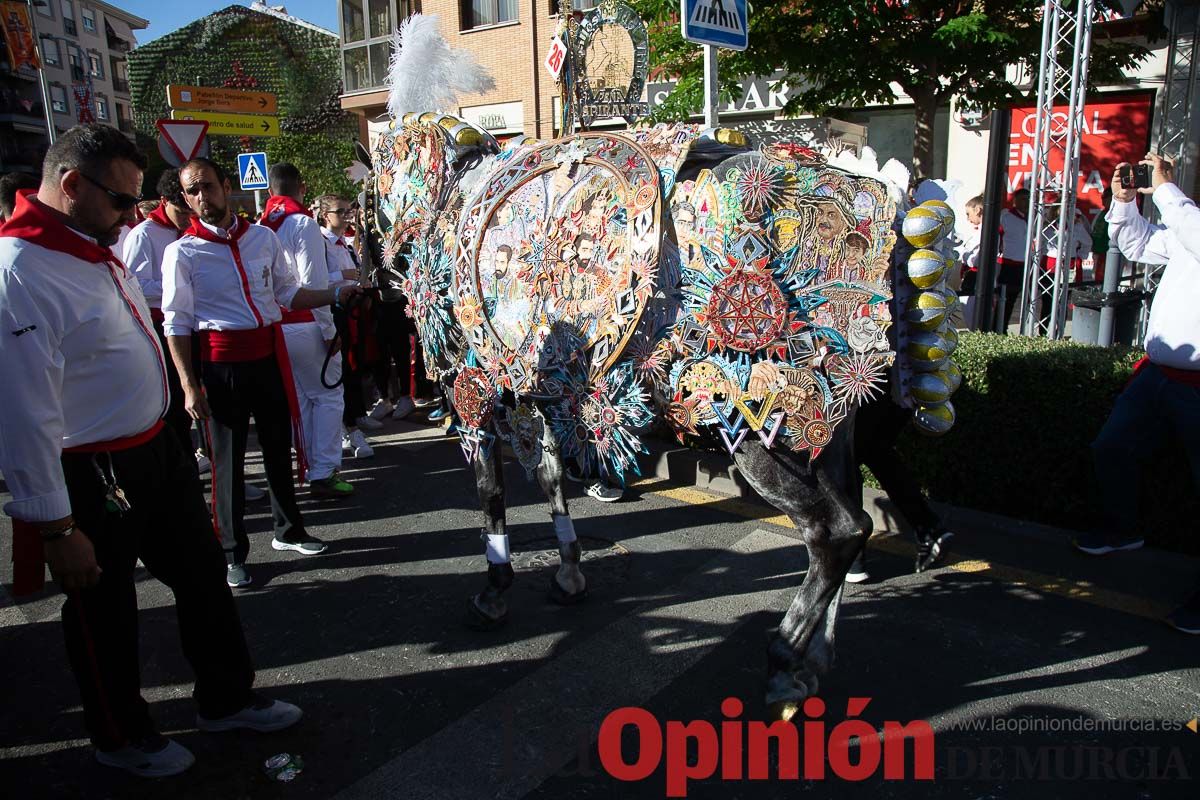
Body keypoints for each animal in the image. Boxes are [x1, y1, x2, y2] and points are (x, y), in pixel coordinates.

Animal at [360, 10, 960, 714]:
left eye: (371, 185)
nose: (378, 268)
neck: (453, 202)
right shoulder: (539, 389)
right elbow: (551, 477)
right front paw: (568, 572)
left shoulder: (473, 389)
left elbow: (491, 491)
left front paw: (495, 587)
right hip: (832, 427)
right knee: (856, 523)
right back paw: (813, 661)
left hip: (763, 423)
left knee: (835, 532)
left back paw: (785, 656)